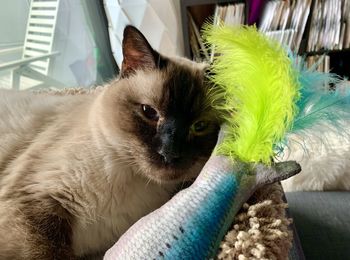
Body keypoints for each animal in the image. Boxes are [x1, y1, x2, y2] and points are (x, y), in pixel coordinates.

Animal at [0, 25, 220, 258]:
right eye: (149, 112)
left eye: (199, 126)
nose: (168, 153)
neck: (134, 182)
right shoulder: (36, 205)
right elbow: (48, 253)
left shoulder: (96, 250)